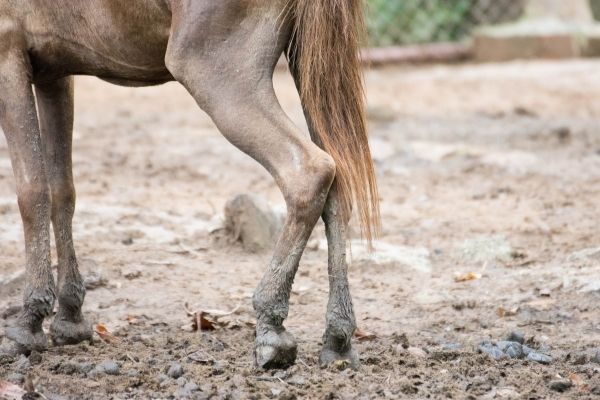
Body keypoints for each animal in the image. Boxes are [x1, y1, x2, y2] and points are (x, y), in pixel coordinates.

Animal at [0, 0, 380, 368]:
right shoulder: (56, 73)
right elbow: (62, 191)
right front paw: (70, 318)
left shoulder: (9, 51)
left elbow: (32, 191)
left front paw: (28, 324)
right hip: (308, 66)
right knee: (338, 185)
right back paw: (338, 339)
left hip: (218, 75)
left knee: (309, 172)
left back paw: (272, 328)